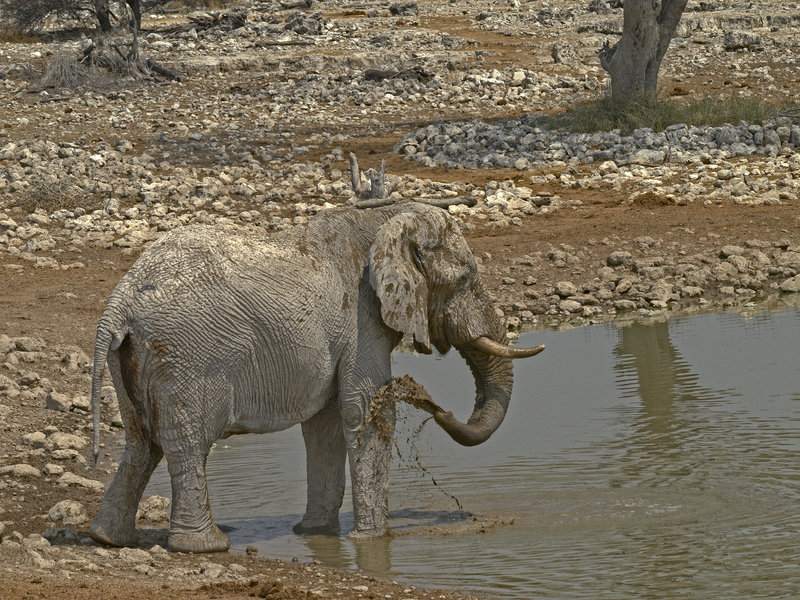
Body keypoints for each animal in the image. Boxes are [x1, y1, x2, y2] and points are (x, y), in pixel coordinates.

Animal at [88, 202, 544, 553]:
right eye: (465, 278)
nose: (438, 408)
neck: (388, 218)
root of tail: (120, 301)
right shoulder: (362, 318)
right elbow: (368, 414)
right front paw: (374, 539)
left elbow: (325, 426)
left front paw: (317, 534)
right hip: (188, 357)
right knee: (186, 444)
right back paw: (206, 546)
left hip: (132, 356)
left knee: (141, 442)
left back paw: (110, 539)